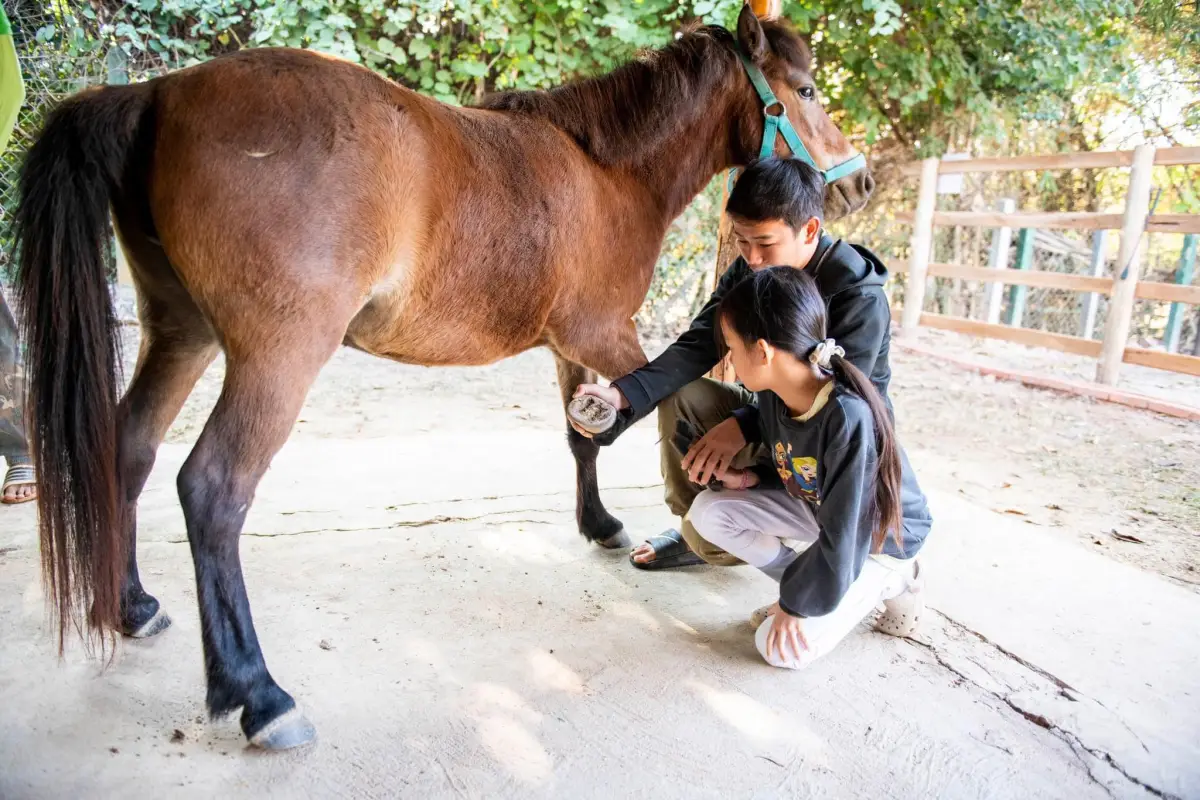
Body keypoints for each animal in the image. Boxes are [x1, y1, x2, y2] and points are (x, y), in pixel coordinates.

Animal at [13, 5, 872, 749]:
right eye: (806, 89)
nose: (858, 183)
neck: (607, 171)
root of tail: (157, 94)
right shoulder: (608, 334)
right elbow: (689, 405)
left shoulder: (568, 344)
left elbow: (583, 437)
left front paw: (601, 524)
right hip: (276, 357)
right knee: (214, 489)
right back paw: (258, 695)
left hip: (180, 332)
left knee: (128, 447)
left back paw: (133, 606)